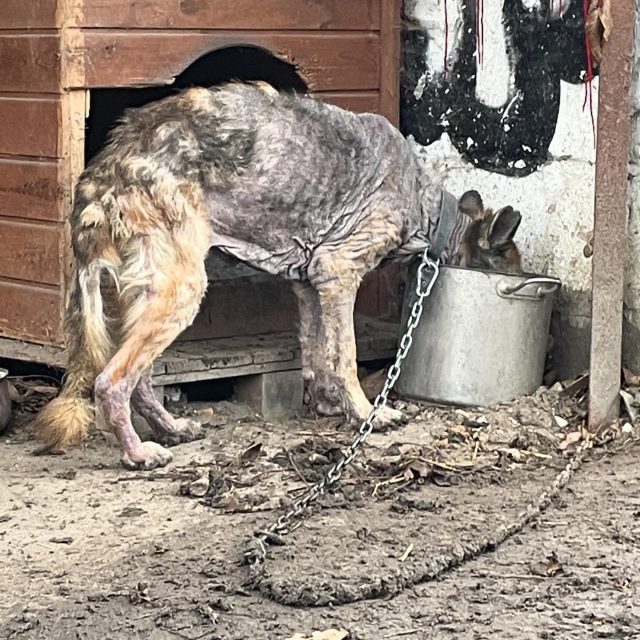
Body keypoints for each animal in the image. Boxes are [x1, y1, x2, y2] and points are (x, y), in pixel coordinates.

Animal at [28, 82, 520, 468]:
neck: (427, 208)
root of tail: (98, 178)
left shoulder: (308, 283)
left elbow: (316, 351)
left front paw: (327, 404)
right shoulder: (339, 271)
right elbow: (345, 354)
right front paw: (368, 414)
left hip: (151, 293)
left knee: (142, 378)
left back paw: (170, 428)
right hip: (180, 288)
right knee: (112, 381)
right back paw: (137, 453)